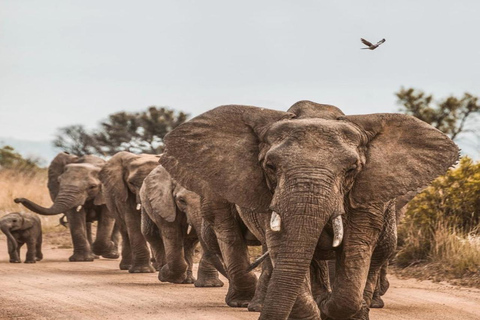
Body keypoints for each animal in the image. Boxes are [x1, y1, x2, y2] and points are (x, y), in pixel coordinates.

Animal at [158, 100, 458, 320]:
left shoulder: (369, 194)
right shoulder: (269, 195)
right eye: (270, 167)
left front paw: (333, 308)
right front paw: (314, 310)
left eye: (351, 169)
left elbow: (357, 249)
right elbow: (283, 245)